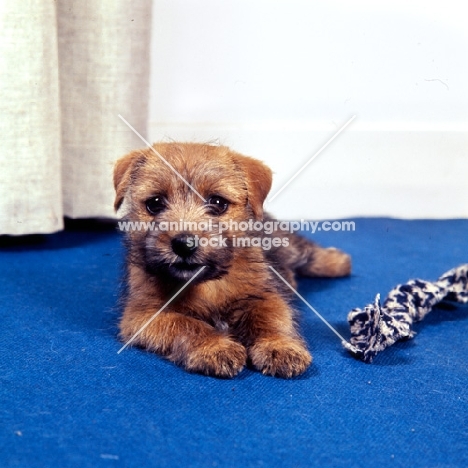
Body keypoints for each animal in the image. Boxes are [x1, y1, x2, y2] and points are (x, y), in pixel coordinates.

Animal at [113, 142, 352, 376]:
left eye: (218, 202)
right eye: (155, 203)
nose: (184, 244)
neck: (206, 285)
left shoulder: (264, 295)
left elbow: (270, 319)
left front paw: (280, 347)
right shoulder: (144, 314)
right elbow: (185, 324)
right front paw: (215, 347)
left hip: (287, 245)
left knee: (307, 253)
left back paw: (338, 261)